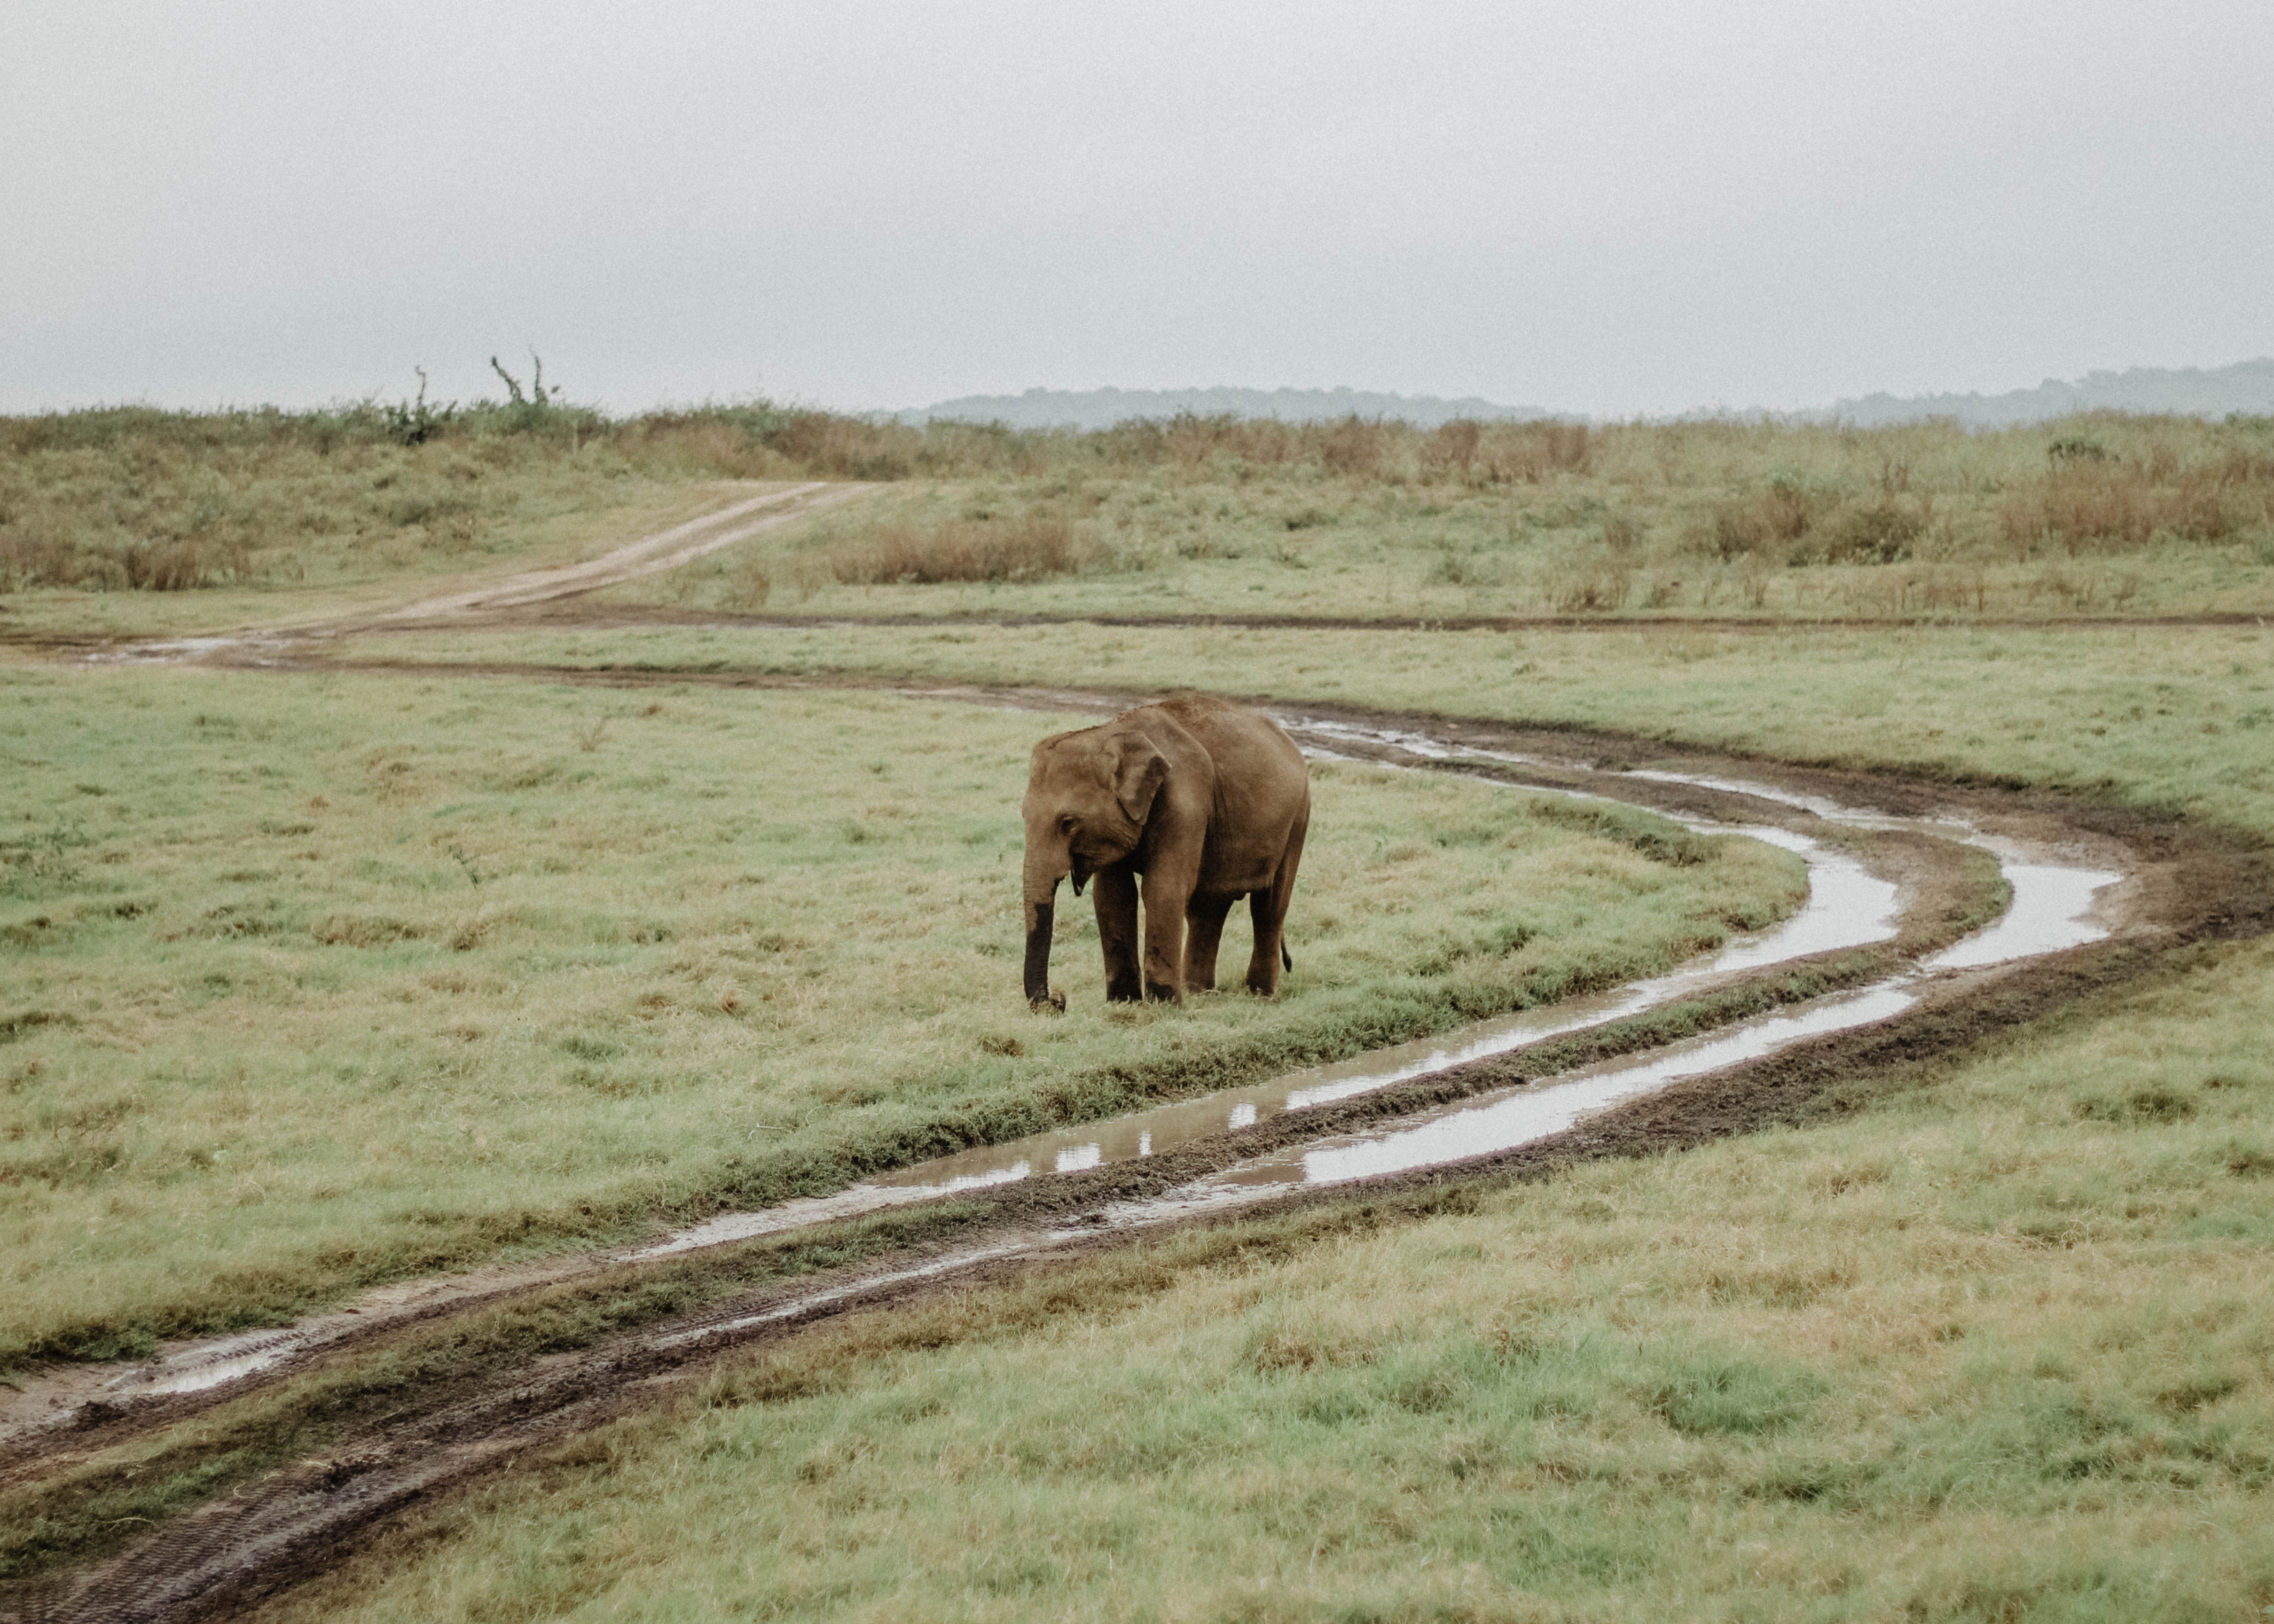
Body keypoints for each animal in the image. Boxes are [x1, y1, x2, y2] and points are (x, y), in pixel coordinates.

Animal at [1023, 691, 1310, 1000]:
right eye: (1024, 816)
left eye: (1068, 823)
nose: (1058, 1000)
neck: (1112, 732)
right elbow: (1113, 895)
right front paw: (1124, 1001)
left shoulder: (1185, 799)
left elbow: (1163, 887)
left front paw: (1163, 1003)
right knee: (1207, 907)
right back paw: (1199, 993)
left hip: (1298, 818)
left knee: (1270, 905)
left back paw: (1258, 995)